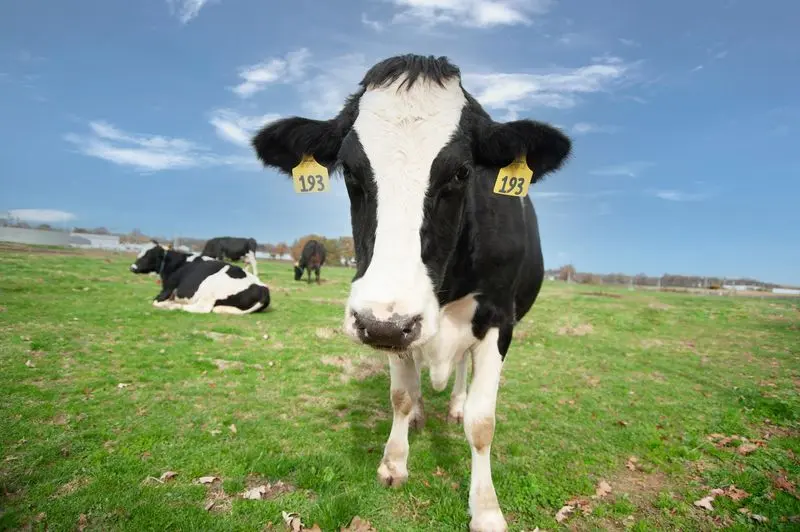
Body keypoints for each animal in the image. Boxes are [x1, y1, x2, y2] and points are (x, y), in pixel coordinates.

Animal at [130, 240, 270, 314]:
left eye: (149, 256)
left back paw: (172, 305)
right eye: (139, 253)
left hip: (210, 287)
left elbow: (154, 301)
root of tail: (263, 289)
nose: (132, 267)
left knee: (202, 308)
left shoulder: (167, 289)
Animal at [251, 54, 572, 531]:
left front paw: (486, 508)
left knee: (460, 369)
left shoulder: (500, 319)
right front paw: (394, 462)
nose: (381, 324)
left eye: (462, 172)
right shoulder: (394, 322)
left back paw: (454, 403)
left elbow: (482, 422)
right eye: (350, 171)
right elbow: (400, 396)